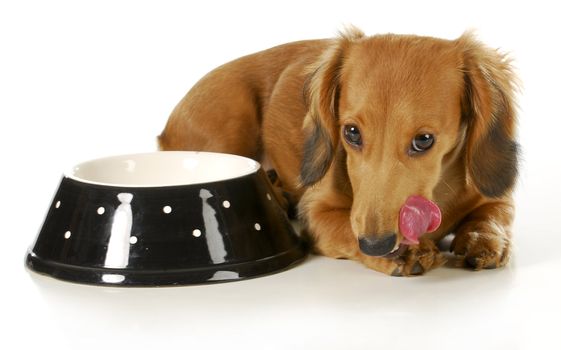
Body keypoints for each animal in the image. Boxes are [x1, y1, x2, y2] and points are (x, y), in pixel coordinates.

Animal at [156, 27, 516, 276]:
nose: (376, 244)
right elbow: (343, 226)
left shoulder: (494, 197)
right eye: (351, 132)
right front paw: (403, 253)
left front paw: (484, 239)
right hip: (230, 122)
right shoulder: (317, 213)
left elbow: (493, 217)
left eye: (424, 140)